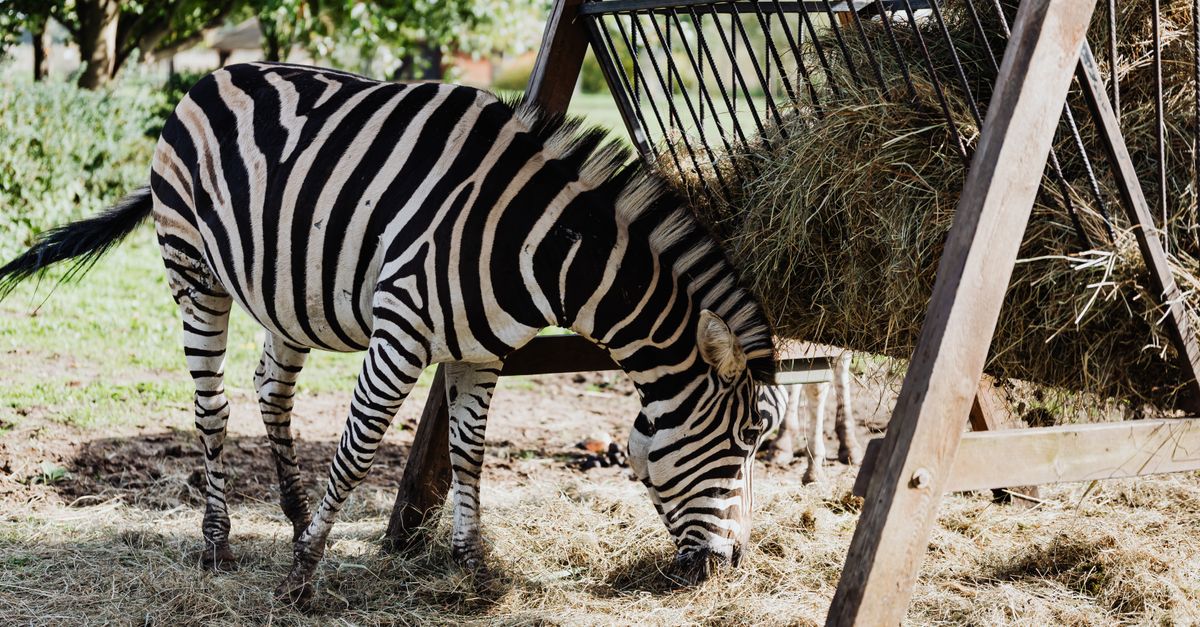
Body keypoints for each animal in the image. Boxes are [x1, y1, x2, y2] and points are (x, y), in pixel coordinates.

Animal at [0, 62, 778, 603]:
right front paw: (302, 579)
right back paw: (219, 543)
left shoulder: (483, 351)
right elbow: (357, 449)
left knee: (270, 390)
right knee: (211, 405)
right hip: (193, 271)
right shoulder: (401, 329)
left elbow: (468, 454)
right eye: (747, 439)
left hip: (288, 293)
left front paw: (470, 567)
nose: (729, 567)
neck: (540, 248)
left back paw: (293, 516)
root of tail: (216, 75)